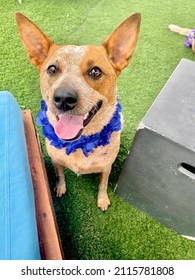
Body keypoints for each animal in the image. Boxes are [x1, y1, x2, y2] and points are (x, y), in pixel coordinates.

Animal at [14, 12, 140, 210]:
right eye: (52, 69)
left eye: (95, 71)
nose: (64, 98)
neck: (80, 143)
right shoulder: (56, 161)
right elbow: (60, 174)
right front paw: (60, 187)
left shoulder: (106, 167)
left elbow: (103, 184)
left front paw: (102, 199)